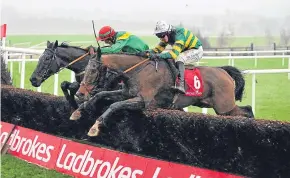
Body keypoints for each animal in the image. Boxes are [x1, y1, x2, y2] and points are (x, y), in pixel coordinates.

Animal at [70, 49, 254, 137]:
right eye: (85, 68)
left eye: (93, 70)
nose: (80, 93)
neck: (137, 71)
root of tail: (224, 72)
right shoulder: (125, 93)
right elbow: (100, 95)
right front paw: (78, 111)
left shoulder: (143, 101)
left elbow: (114, 105)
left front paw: (95, 127)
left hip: (224, 107)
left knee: (247, 110)